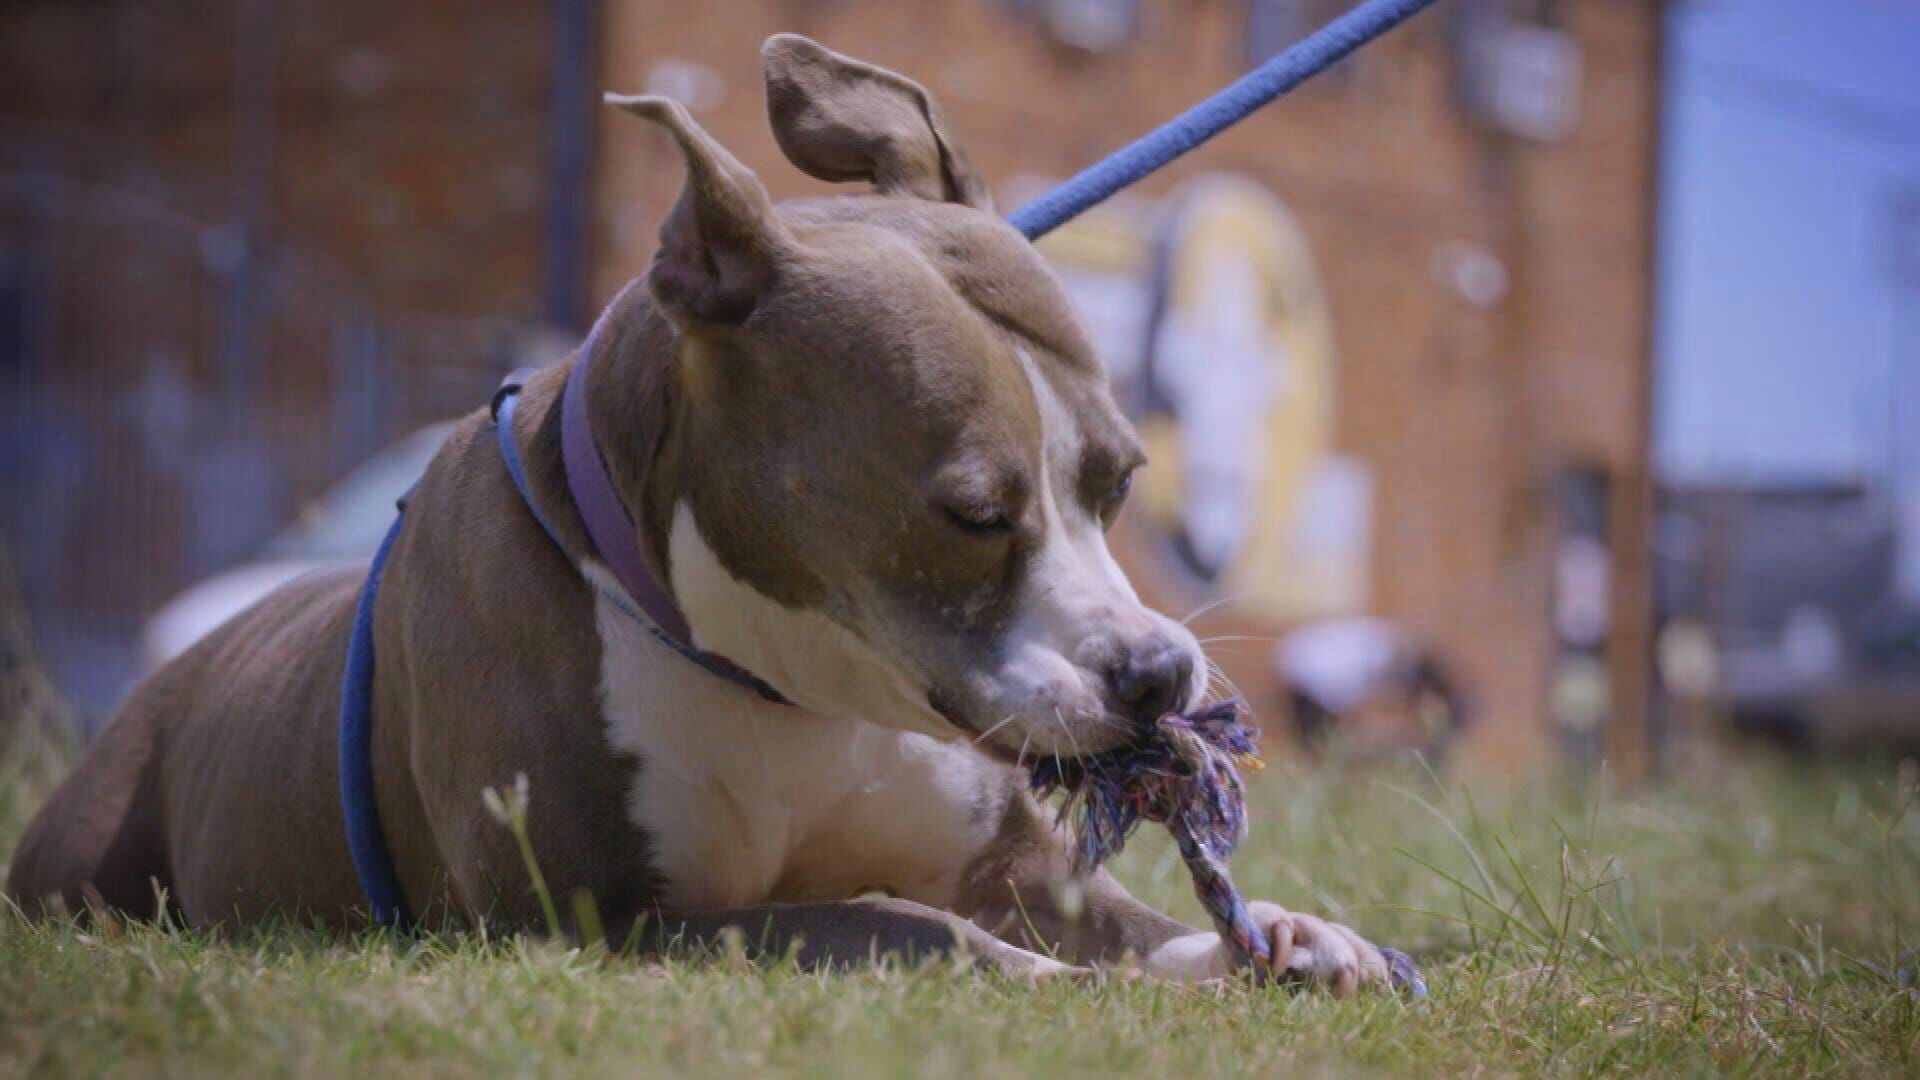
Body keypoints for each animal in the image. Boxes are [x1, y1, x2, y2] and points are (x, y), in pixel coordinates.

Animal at [11, 33, 1397, 991]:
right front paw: (1046, 979)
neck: (788, 684)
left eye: (1119, 481)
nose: (1161, 677)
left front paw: (1293, 936)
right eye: (973, 512)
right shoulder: (596, 924)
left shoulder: (1018, 871)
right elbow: (898, 923)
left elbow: (1154, 929)